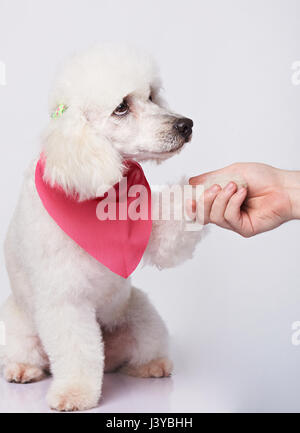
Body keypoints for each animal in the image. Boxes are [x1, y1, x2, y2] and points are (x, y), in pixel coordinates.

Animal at [0, 45, 203, 410]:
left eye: (151, 96)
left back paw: (150, 365)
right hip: (17, 326)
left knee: (136, 353)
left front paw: (209, 193)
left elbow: (168, 234)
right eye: (121, 107)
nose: (186, 125)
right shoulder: (66, 301)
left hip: (141, 317)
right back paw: (22, 369)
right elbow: (76, 351)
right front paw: (74, 394)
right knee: (31, 354)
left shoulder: (150, 229)